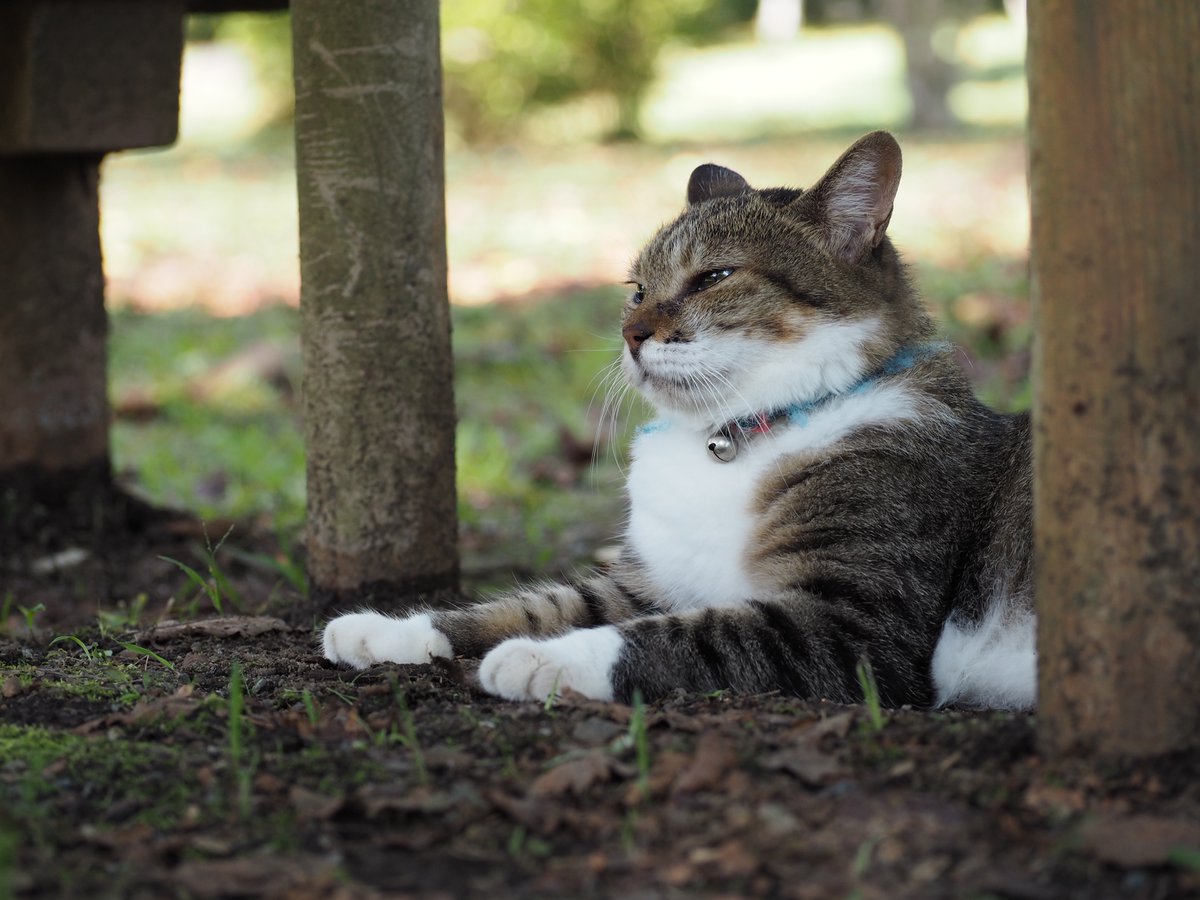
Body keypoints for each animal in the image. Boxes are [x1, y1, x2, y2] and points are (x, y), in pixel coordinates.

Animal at [324, 132, 1036, 710]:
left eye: (713, 276)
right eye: (637, 288)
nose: (630, 333)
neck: (739, 434)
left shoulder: (857, 627)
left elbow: (683, 636)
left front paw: (541, 659)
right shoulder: (649, 583)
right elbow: (535, 604)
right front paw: (387, 629)